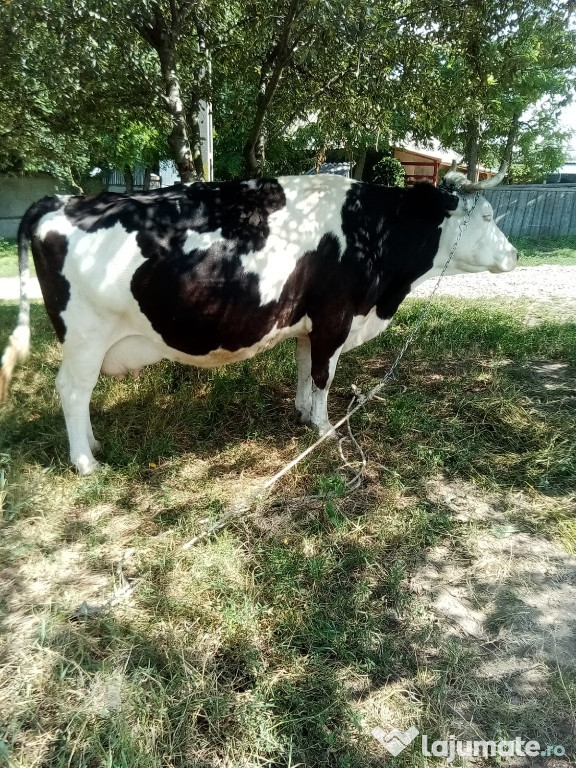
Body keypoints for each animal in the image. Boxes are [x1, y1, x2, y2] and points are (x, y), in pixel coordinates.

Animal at [0, 166, 517, 475]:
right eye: (490, 215)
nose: (514, 254)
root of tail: (63, 201)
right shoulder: (335, 319)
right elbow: (324, 375)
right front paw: (325, 430)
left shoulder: (310, 325)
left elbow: (306, 371)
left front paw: (303, 414)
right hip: (85, 336)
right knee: (72, 390)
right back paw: (86, 462)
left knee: (78, 394)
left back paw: (94, 445)